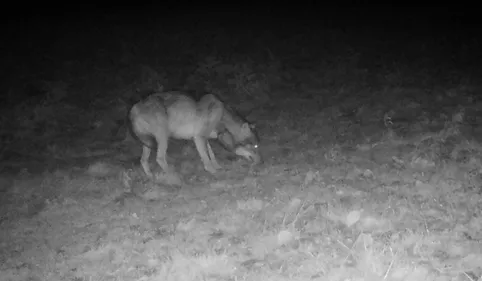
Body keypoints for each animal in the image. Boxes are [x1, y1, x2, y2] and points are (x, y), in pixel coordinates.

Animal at [129, 90, 260, 177]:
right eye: (255, 146)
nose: (262, 162)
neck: (223, 116)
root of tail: (134, 108)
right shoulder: (198, 137)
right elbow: (206, 159)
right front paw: (214, 171)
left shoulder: (204, 138)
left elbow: (211, 155)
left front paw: (217, 167)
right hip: (163, 138)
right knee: (160, 158)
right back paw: (175, 177)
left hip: (148, 142)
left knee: (143, 160)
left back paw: (151, 177)